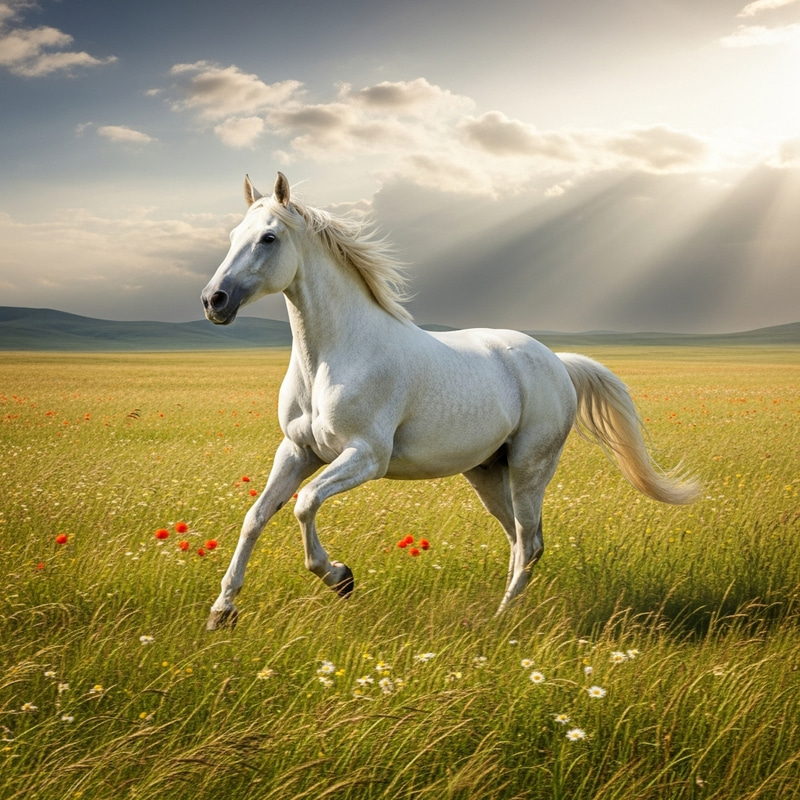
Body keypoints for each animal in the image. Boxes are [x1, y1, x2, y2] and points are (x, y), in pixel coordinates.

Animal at [201, 172, 699, 629]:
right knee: (517, 540)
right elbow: (256, 516)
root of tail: (557, 362)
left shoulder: (366, 456)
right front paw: (222, 611)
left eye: (269, 237)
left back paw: (502, 619)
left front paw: (340, 577)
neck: (332, 357)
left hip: (530, 467)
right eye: (233, 235)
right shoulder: (297, 451)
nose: (213, 300)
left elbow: (304, 503)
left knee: (530, 541)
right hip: (487, 472)